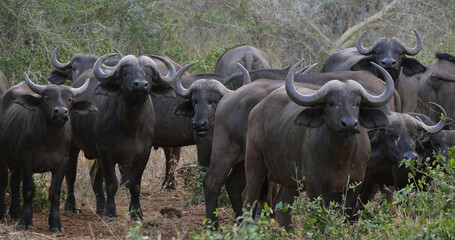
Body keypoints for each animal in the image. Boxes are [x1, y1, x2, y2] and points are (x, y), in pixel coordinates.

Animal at [0, 74, 95, 232]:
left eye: (69, 99)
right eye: (46, 98)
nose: (61, 112)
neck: (50, 140)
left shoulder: (62, 163)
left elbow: (55, 192)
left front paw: (56, 223)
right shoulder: (26, 161)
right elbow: (29, 190)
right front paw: (25, 221)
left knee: (14, 182)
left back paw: (15, 212)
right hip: (3, 159)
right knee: (3, 183)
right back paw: (3, 214)